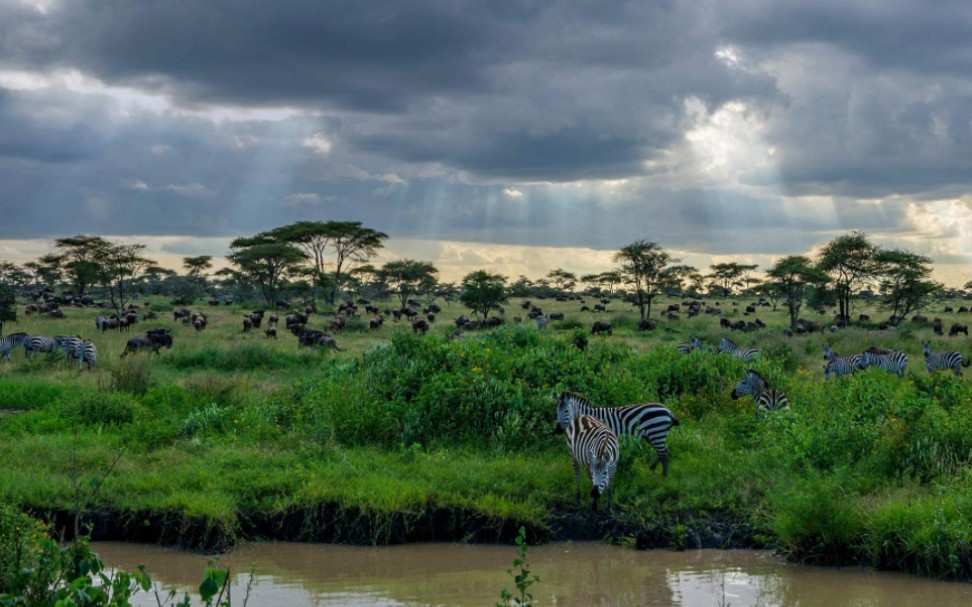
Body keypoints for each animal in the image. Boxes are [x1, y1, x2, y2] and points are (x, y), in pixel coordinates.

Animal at [552, 392, 680, 478]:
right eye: (557, 411)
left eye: (566, 411)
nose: (557, 431)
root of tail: (668, 411)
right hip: (652, 436)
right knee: (663, 452)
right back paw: (653, 468)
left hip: (656, 433)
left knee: (663, 454)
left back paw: (663, 476)